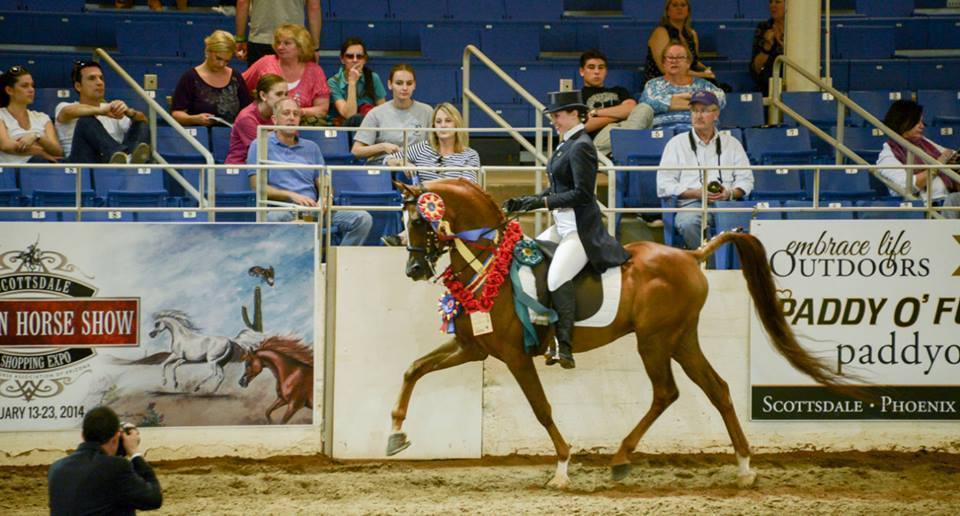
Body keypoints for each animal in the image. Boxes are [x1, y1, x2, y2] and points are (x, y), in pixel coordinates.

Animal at [387, 178, 851, 489]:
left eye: (421, 222)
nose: (413, 270)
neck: (489, 265)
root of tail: (691, 255)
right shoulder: (472, 347)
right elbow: (413, 369)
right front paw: (395, 435)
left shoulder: (515, 355)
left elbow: (541, 408)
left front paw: (562, 467)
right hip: (681, 339)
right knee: (716, 389)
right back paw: (743, 467)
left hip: (655, 340)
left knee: (667, 392)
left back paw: (623, 458)